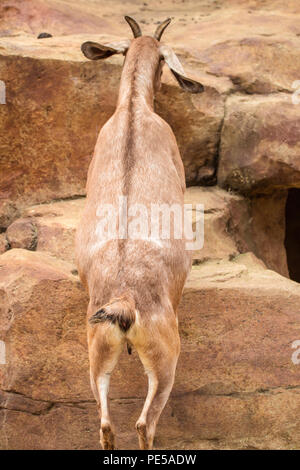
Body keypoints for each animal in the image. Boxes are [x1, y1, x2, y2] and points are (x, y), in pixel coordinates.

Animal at [75, 17, 204, 452]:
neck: (133, 110)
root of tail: (124, 301)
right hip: (165, 357)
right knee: (145, 423)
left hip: (96, 349)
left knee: (105, 423)